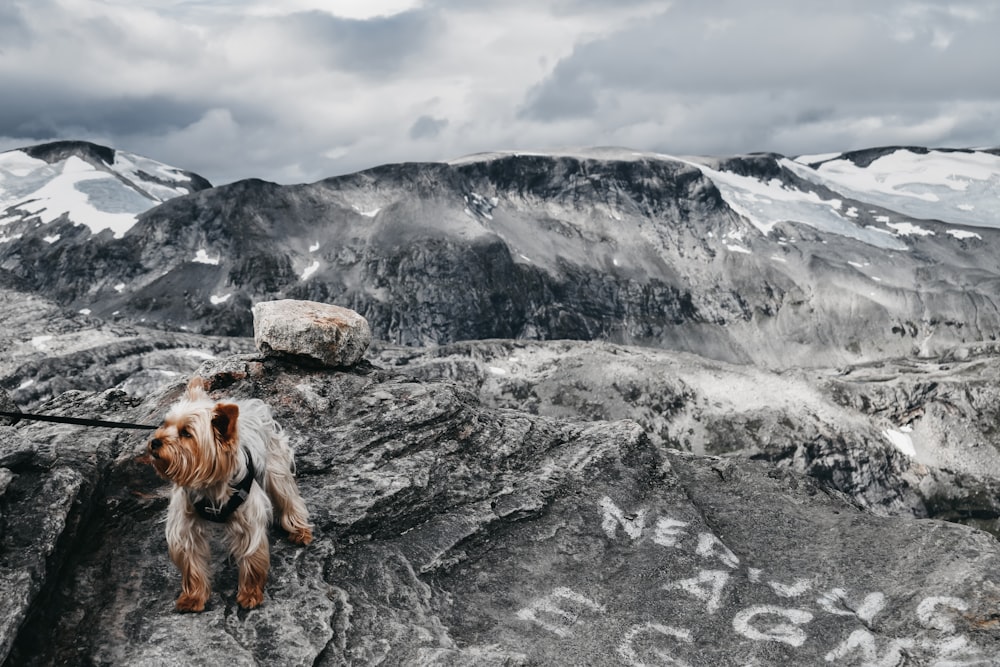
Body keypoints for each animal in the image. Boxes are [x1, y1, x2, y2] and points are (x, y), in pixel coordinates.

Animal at [147, 378, 312, 612]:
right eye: (165, 425)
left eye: (186, 433)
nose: (155, 442)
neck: (209, 484)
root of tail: (250, 404)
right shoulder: (185, 524)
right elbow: (191, 561)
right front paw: (193, 597)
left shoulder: (248, 518)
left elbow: (252, 556)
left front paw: (250, 594)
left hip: (275, 468)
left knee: (289, 497)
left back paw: (300, 530)